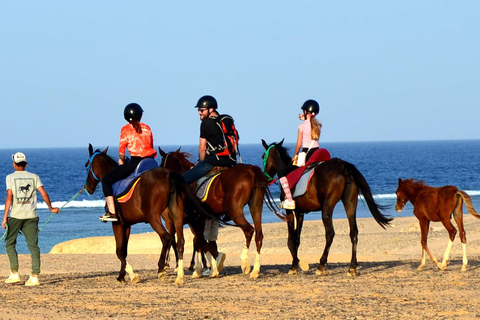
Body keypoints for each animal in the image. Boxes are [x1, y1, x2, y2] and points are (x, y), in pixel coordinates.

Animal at [85, 144, 215, 284]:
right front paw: (123, 274)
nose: (88, 187)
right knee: (182, 241)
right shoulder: (127, 224)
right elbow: (124, 250)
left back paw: (162, 268)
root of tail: (168, 175)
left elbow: (119, 251)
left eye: (87, 166)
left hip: (155, 218)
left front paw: (129, 275)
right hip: (178, 217)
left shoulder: (118, 224)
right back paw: (181, 274)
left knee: (167, 238)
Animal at [158, 146, 268, 278]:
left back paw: (244, 262)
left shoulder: (189, 221)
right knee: (259, 235)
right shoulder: (200, 221)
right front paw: (208, 267)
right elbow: (202, 242)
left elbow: (200, 242)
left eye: (161, 161)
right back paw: (255, 270)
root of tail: (250, 170)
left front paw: (208, 266)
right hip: (256, 206)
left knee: (249, 230)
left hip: (234, 211)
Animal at [260, 140, 392, 278]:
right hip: (350, 203)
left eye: (263, 156)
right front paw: (297, 263)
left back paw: (321, 265)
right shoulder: (300, 213)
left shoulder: (290, 212)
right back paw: (352, 267)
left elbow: (291, 240)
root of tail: (343, 166)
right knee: (354, 232)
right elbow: (297, 239)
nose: (265, 177)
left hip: (327, 208)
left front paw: (294, 266)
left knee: (330, 233)